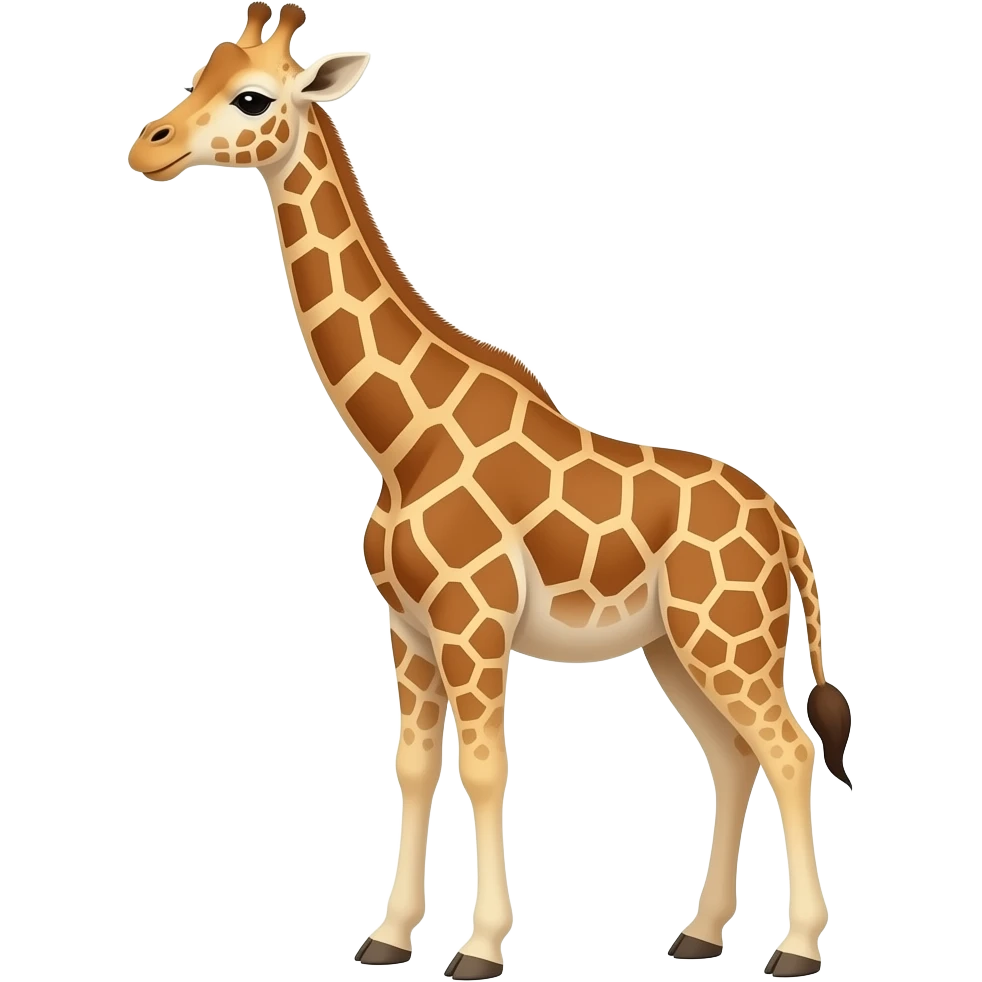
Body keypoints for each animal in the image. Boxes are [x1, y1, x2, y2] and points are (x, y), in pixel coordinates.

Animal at [125, 5, 854, 979]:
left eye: (251, 97)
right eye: (196, 75)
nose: (149, 147)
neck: (402, 441)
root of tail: (784, 526)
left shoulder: (472, 622)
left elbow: (483, 768)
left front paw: (478, 946)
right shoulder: (406, 630)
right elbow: (412, 767)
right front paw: (389, 935)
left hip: (728, 637)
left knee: (789, 747)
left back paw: (797, 949)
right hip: (677, 645)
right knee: (736, 758)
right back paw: (700, 933)